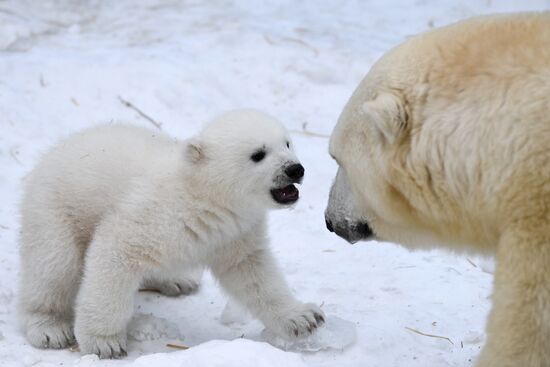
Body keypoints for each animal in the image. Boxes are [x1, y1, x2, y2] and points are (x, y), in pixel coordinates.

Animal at [19, 110, 326, 360]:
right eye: (258, 154)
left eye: (287, 143)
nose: (295, 169)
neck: (201, 194)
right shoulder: (156, 215)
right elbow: (115, 252)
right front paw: (103, 342)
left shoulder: (234, 232)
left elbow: (254, 272)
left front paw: (303, 318)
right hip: (55, 209)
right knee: (54, 267)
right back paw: (49, 329)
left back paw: (178, 280)